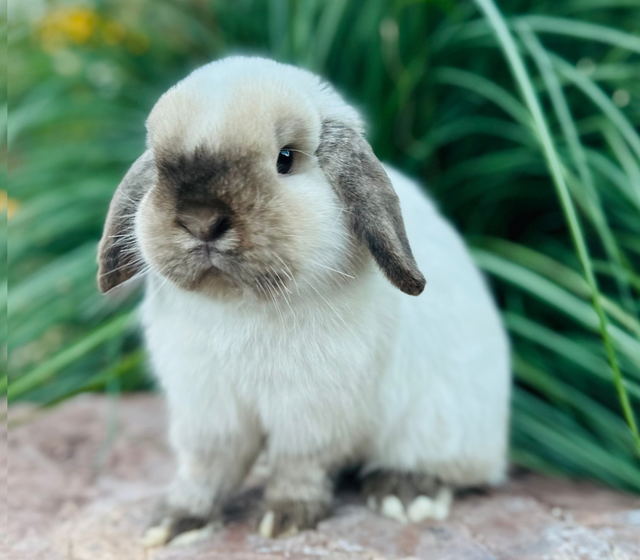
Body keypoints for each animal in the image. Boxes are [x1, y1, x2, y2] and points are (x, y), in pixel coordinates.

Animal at [97, 56, 511, 544]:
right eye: (160, 167)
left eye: (286, 159)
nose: (201, 221)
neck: (240, 304)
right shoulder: (207, 410)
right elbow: (205, 468)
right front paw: (174, 522)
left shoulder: (310, 411)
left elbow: (299, 464)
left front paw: (286, 520)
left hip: (439, 427)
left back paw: (406, 495)